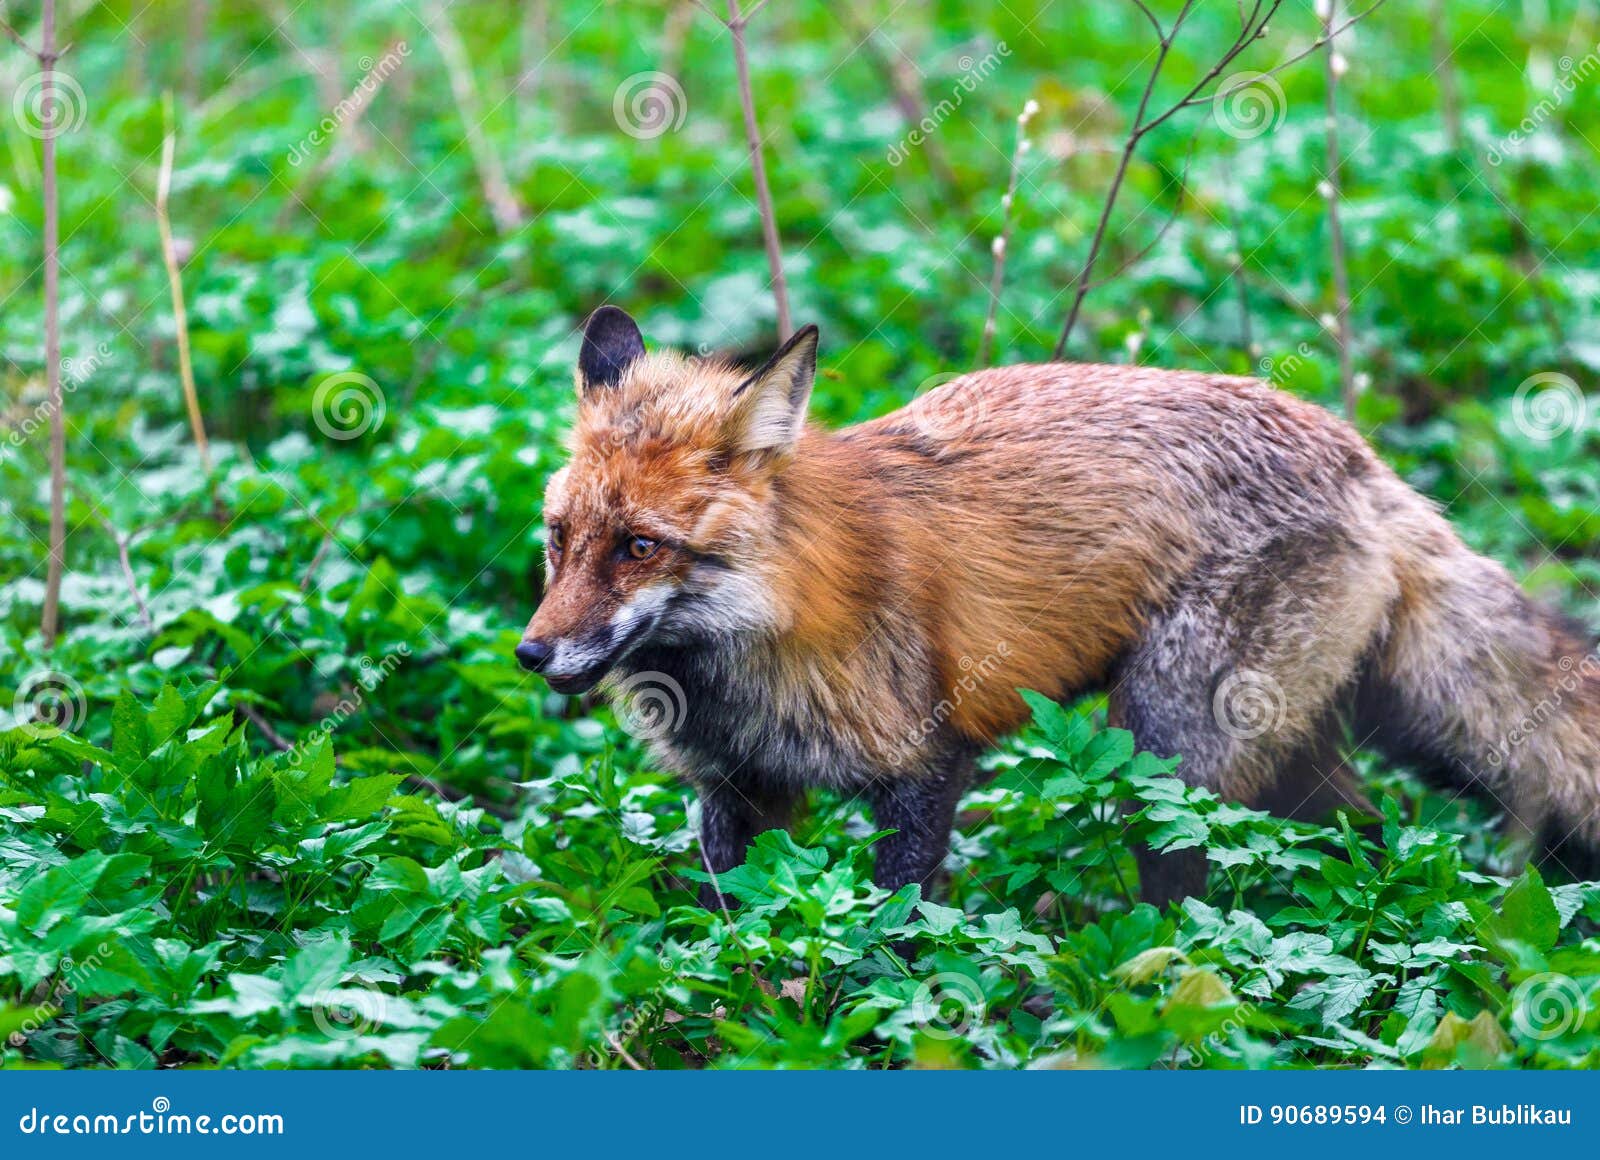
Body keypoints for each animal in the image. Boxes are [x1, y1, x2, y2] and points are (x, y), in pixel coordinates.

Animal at [518, 307, 1593, 902]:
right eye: (559, 540)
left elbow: (891, 928)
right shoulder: (738, 791)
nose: (532, 655)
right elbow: (736, 934)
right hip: (1284, 750)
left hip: (1169, 752)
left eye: (641, 547)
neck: (745, 645)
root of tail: (1363, 456)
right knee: (1372, 838)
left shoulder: (926, 765)